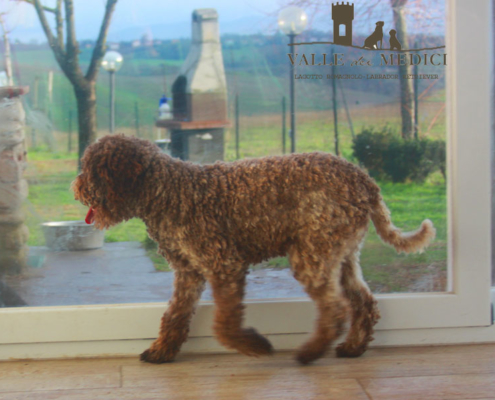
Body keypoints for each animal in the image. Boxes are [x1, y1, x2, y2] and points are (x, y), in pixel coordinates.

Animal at [71, 135, 436, 366]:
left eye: (91, 169)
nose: (76, 187)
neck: (168, 192)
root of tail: (364, 179)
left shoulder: (224, 265)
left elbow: (224, 324)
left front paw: (254, 345)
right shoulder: (188, 273)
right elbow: (174, 315)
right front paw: (162, 351)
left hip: (312, 255)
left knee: (335, 311)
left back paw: (310, 353)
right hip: (341, 255)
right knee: (364, 303)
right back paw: (353, 347)